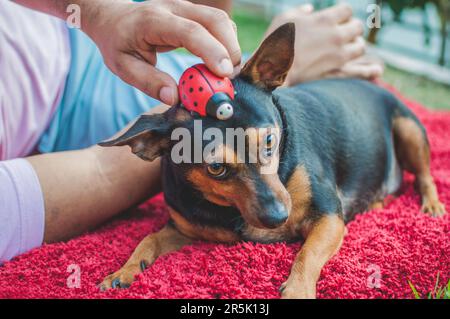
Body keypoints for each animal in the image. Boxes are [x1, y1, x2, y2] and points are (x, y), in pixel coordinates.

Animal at [98, 23, 446, 298]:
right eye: (215, 168)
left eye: (269, 141)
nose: (279, 217)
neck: (227, 210)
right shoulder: (183, 230)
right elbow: (148, 238)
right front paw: (123, 270)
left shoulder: (328, 218)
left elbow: (307, 254)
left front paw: (297, 290)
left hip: (409, 130)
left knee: (425, 176)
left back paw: (431, 205)